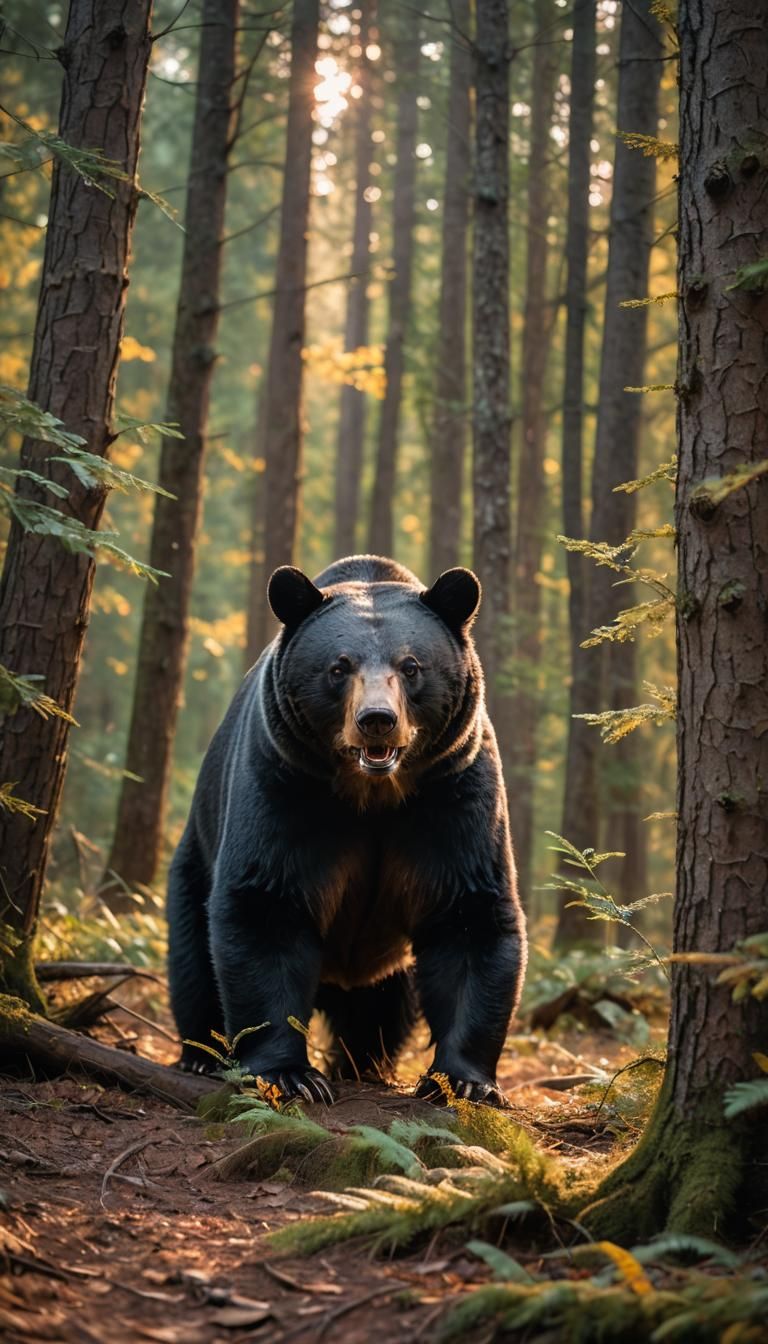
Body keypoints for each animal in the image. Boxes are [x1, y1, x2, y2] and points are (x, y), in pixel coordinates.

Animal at [167, 554, 526, 1107]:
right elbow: (265, 907)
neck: (372, 795)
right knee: (193, 957)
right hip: (196, 854)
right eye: (339, 667)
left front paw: (465, 1081)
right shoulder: (286, 787)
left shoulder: (453, 794)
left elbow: (469, 917)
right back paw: (200, 1056)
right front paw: (290, 1075)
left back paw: (365, 1063)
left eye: (410, 666)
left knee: (385, 1004)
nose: (377, 719)